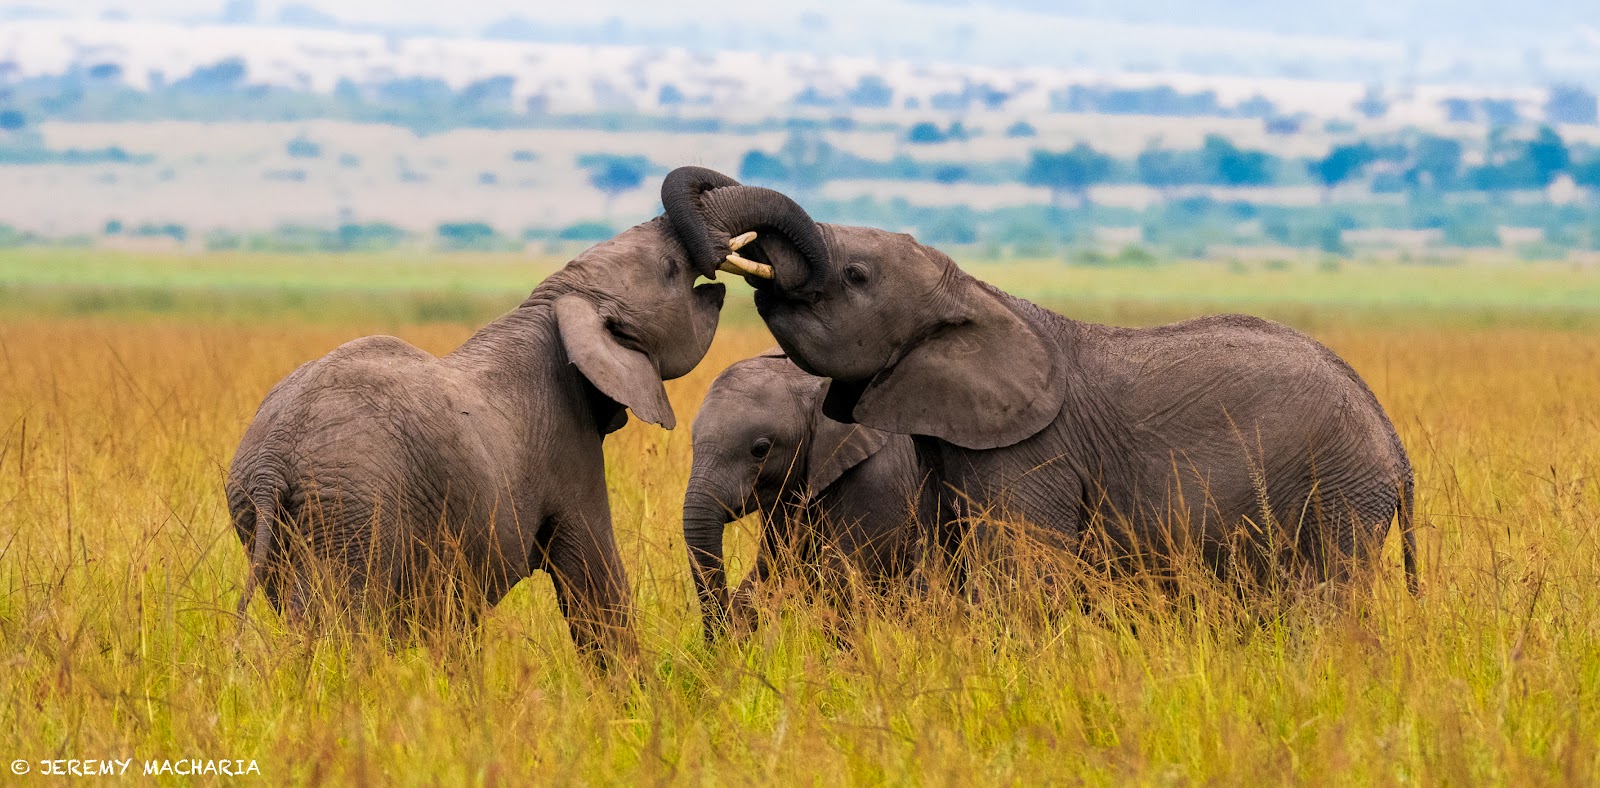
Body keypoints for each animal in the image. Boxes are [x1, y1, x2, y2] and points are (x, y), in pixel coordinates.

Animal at [228, 170, 738, 658]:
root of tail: (273, 462)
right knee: (340, 618)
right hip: (353, 510)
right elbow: (595, 584)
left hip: (265, 517)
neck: (557, 301)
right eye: (670, 269)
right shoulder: (568, 451)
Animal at [663, 166, 1418, 599]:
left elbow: (1018, 581)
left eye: (857, 275)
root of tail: (1394, 444)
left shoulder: (1030, 458)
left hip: (1338, 494)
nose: (719, 255)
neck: (978, 295)